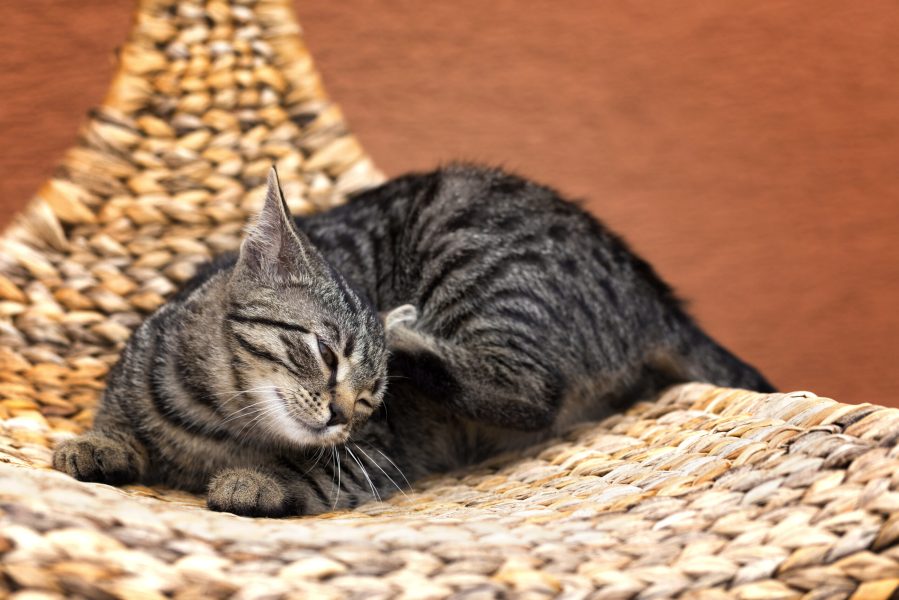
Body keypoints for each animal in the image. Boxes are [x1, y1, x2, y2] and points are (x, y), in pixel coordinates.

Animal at [54, 164, 772, 516]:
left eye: (373, 398)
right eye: (325, 353)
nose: (342, 414)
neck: (218, 424)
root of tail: (650, 288)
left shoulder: (380, 452)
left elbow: (316, 474)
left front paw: (258, 481)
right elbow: (113, 422)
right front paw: (97, 445)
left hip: (475, 264)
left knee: (532, 393)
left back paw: (408, 329)